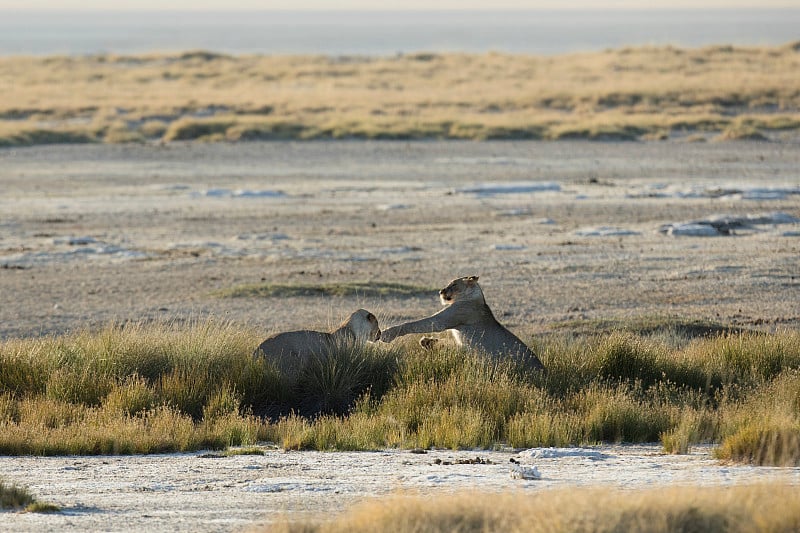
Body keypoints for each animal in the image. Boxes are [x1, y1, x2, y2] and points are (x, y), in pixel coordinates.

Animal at [380, 274, 544, 370]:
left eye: (453, 285)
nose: (440, 291)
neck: (473, 297)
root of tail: (544, 371)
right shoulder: (461, 344)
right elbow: (449, 343)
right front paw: (427, 341)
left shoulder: (447, 318)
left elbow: (418, 324)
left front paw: (388, 333)